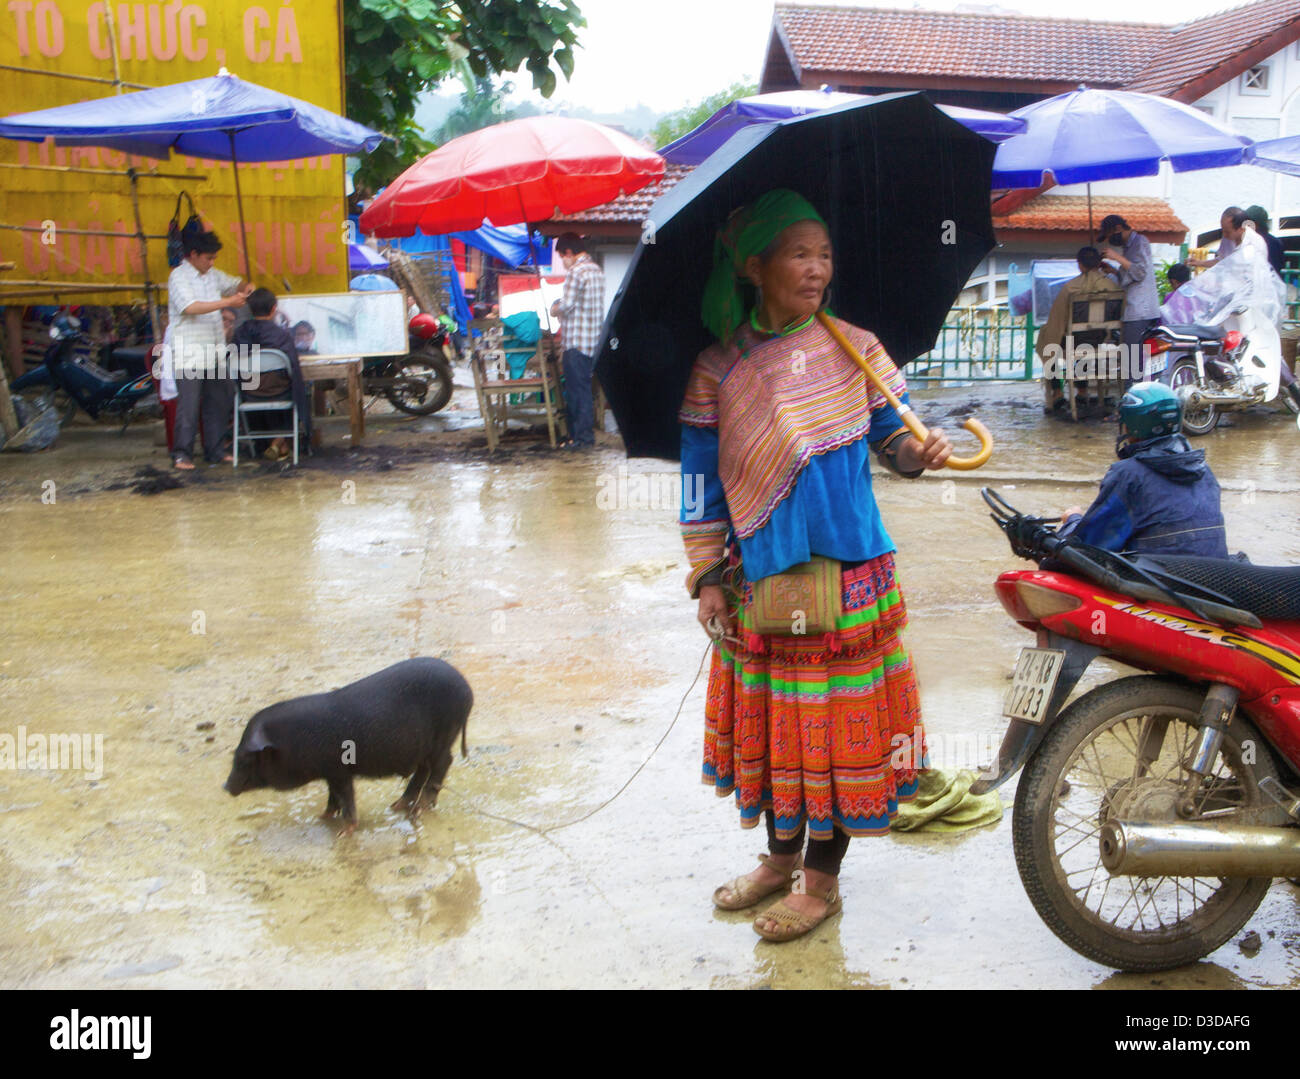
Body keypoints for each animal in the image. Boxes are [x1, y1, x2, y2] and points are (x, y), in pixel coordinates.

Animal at [226, 655, 475, 832]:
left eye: (244, 759)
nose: (225, 786)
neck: (292, 741)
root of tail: (468, 691)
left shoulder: (339, 770)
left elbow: (346, 798)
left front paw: (343, 831)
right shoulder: (330, 773)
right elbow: (333, 798)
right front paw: (320, 818)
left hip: (444, 735)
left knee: (444, 763)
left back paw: (418, 810)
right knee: (424, 769)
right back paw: (396, 806)